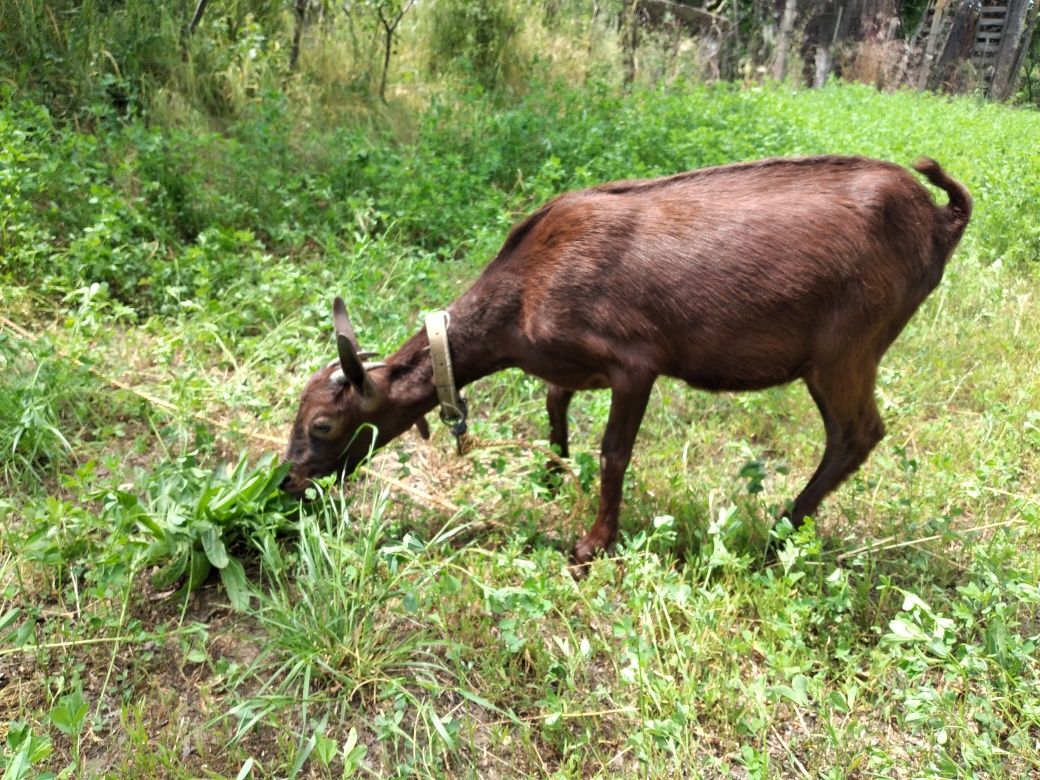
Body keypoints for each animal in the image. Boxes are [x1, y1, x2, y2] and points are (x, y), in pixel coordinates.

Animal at [280, 153, 969, 569]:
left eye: (323, 425)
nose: (288, 482)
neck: (525, 290)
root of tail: (942, 218)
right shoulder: (567, 367)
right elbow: (554, 403)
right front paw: (552, 473)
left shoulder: (635, 361)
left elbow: (614, 452)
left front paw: (592, 543)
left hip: (846, 347)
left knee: (857, 433)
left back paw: (777, 532)